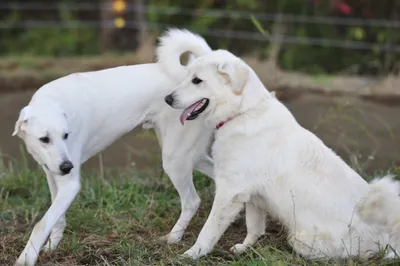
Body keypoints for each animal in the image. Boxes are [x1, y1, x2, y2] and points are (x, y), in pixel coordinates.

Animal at [12, 29, 214, 266]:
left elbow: (41, 224)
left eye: (65, 136)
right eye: (44, 139)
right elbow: (56, 218)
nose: (67, 167)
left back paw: (173, 238)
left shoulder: (70, 184)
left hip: (174, 159)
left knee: (192, 200)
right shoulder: (52, 174)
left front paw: (26, 258)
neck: (53, 102)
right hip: (190, 156)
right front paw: (52, 246)